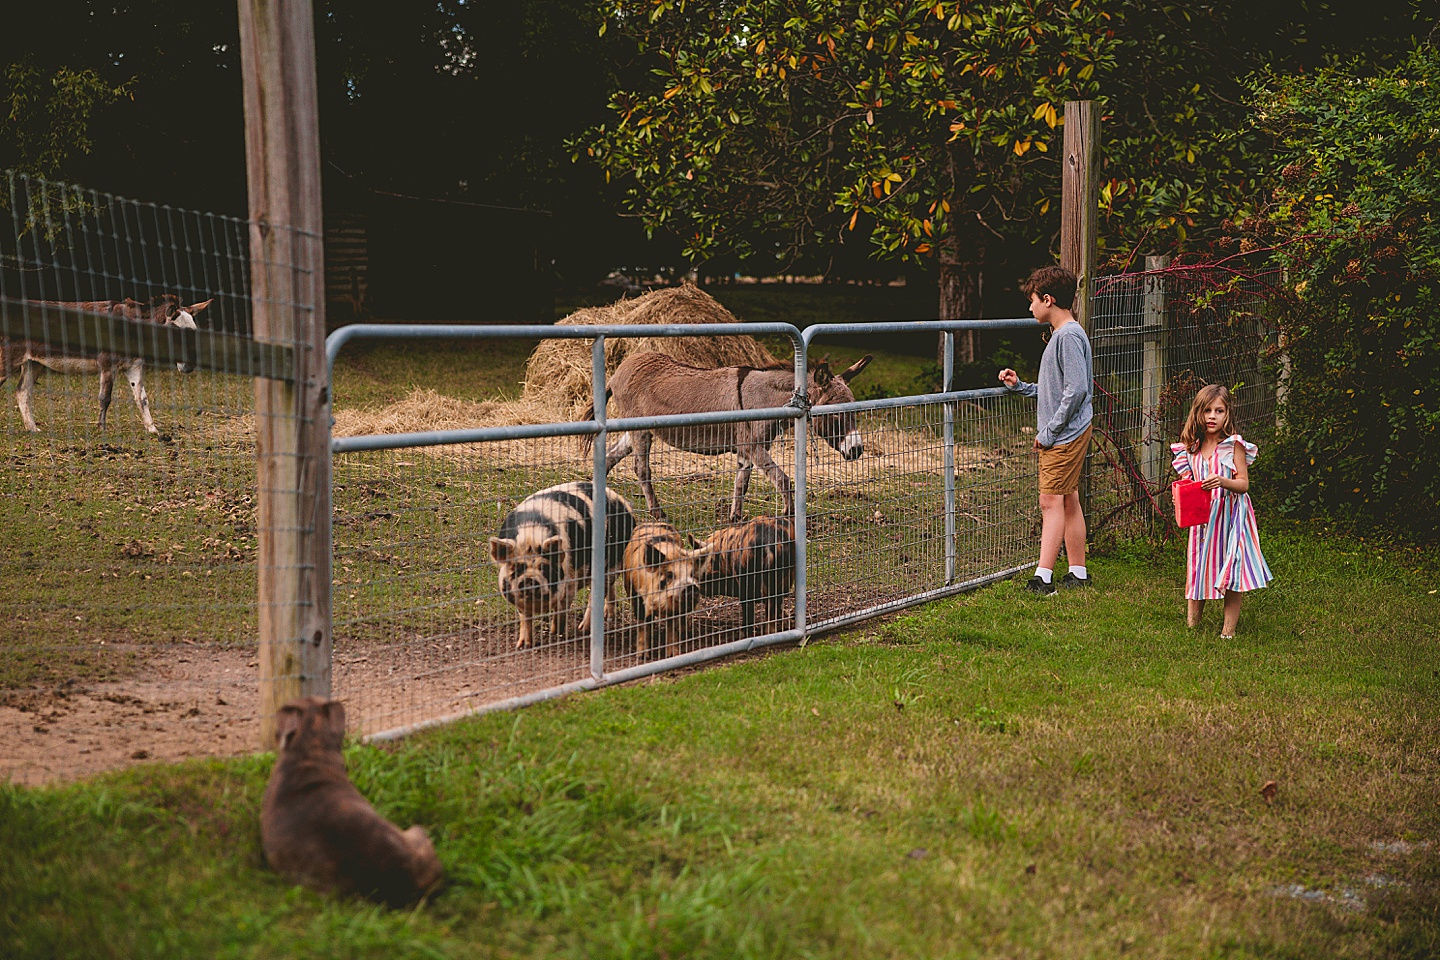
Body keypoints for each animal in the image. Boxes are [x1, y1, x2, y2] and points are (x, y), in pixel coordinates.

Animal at [489, 483, 636, 650]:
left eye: (544, 568)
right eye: (517, 568)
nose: (530, 580)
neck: (531, 537)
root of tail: (623, 502)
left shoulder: (570, 579)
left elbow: (562, 608)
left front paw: (555, 633)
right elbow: (525, 617)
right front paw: (523, 646)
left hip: (613, 561)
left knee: (598, 593)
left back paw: (583, 629)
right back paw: (607, 616)